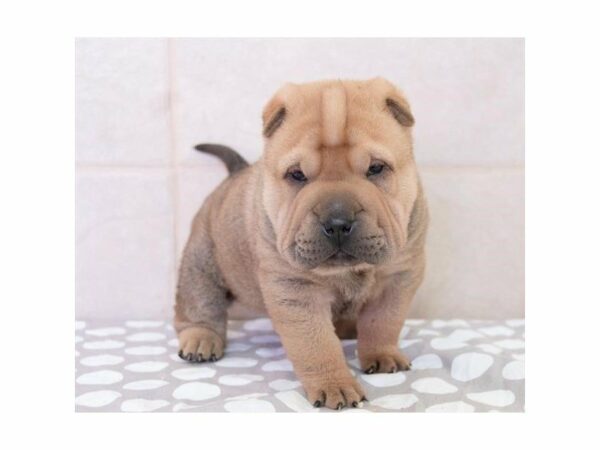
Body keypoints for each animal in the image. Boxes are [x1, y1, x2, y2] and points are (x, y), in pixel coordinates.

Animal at [173, 78, 426, 412]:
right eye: (297, 175)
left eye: (376, 169)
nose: (337, 222)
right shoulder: (296, 290)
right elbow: (316, 345)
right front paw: (335, 386)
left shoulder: (398, 278)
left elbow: (383, 321)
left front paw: (382, 354)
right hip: (201, 262)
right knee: (199, 306)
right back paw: (200, 339)